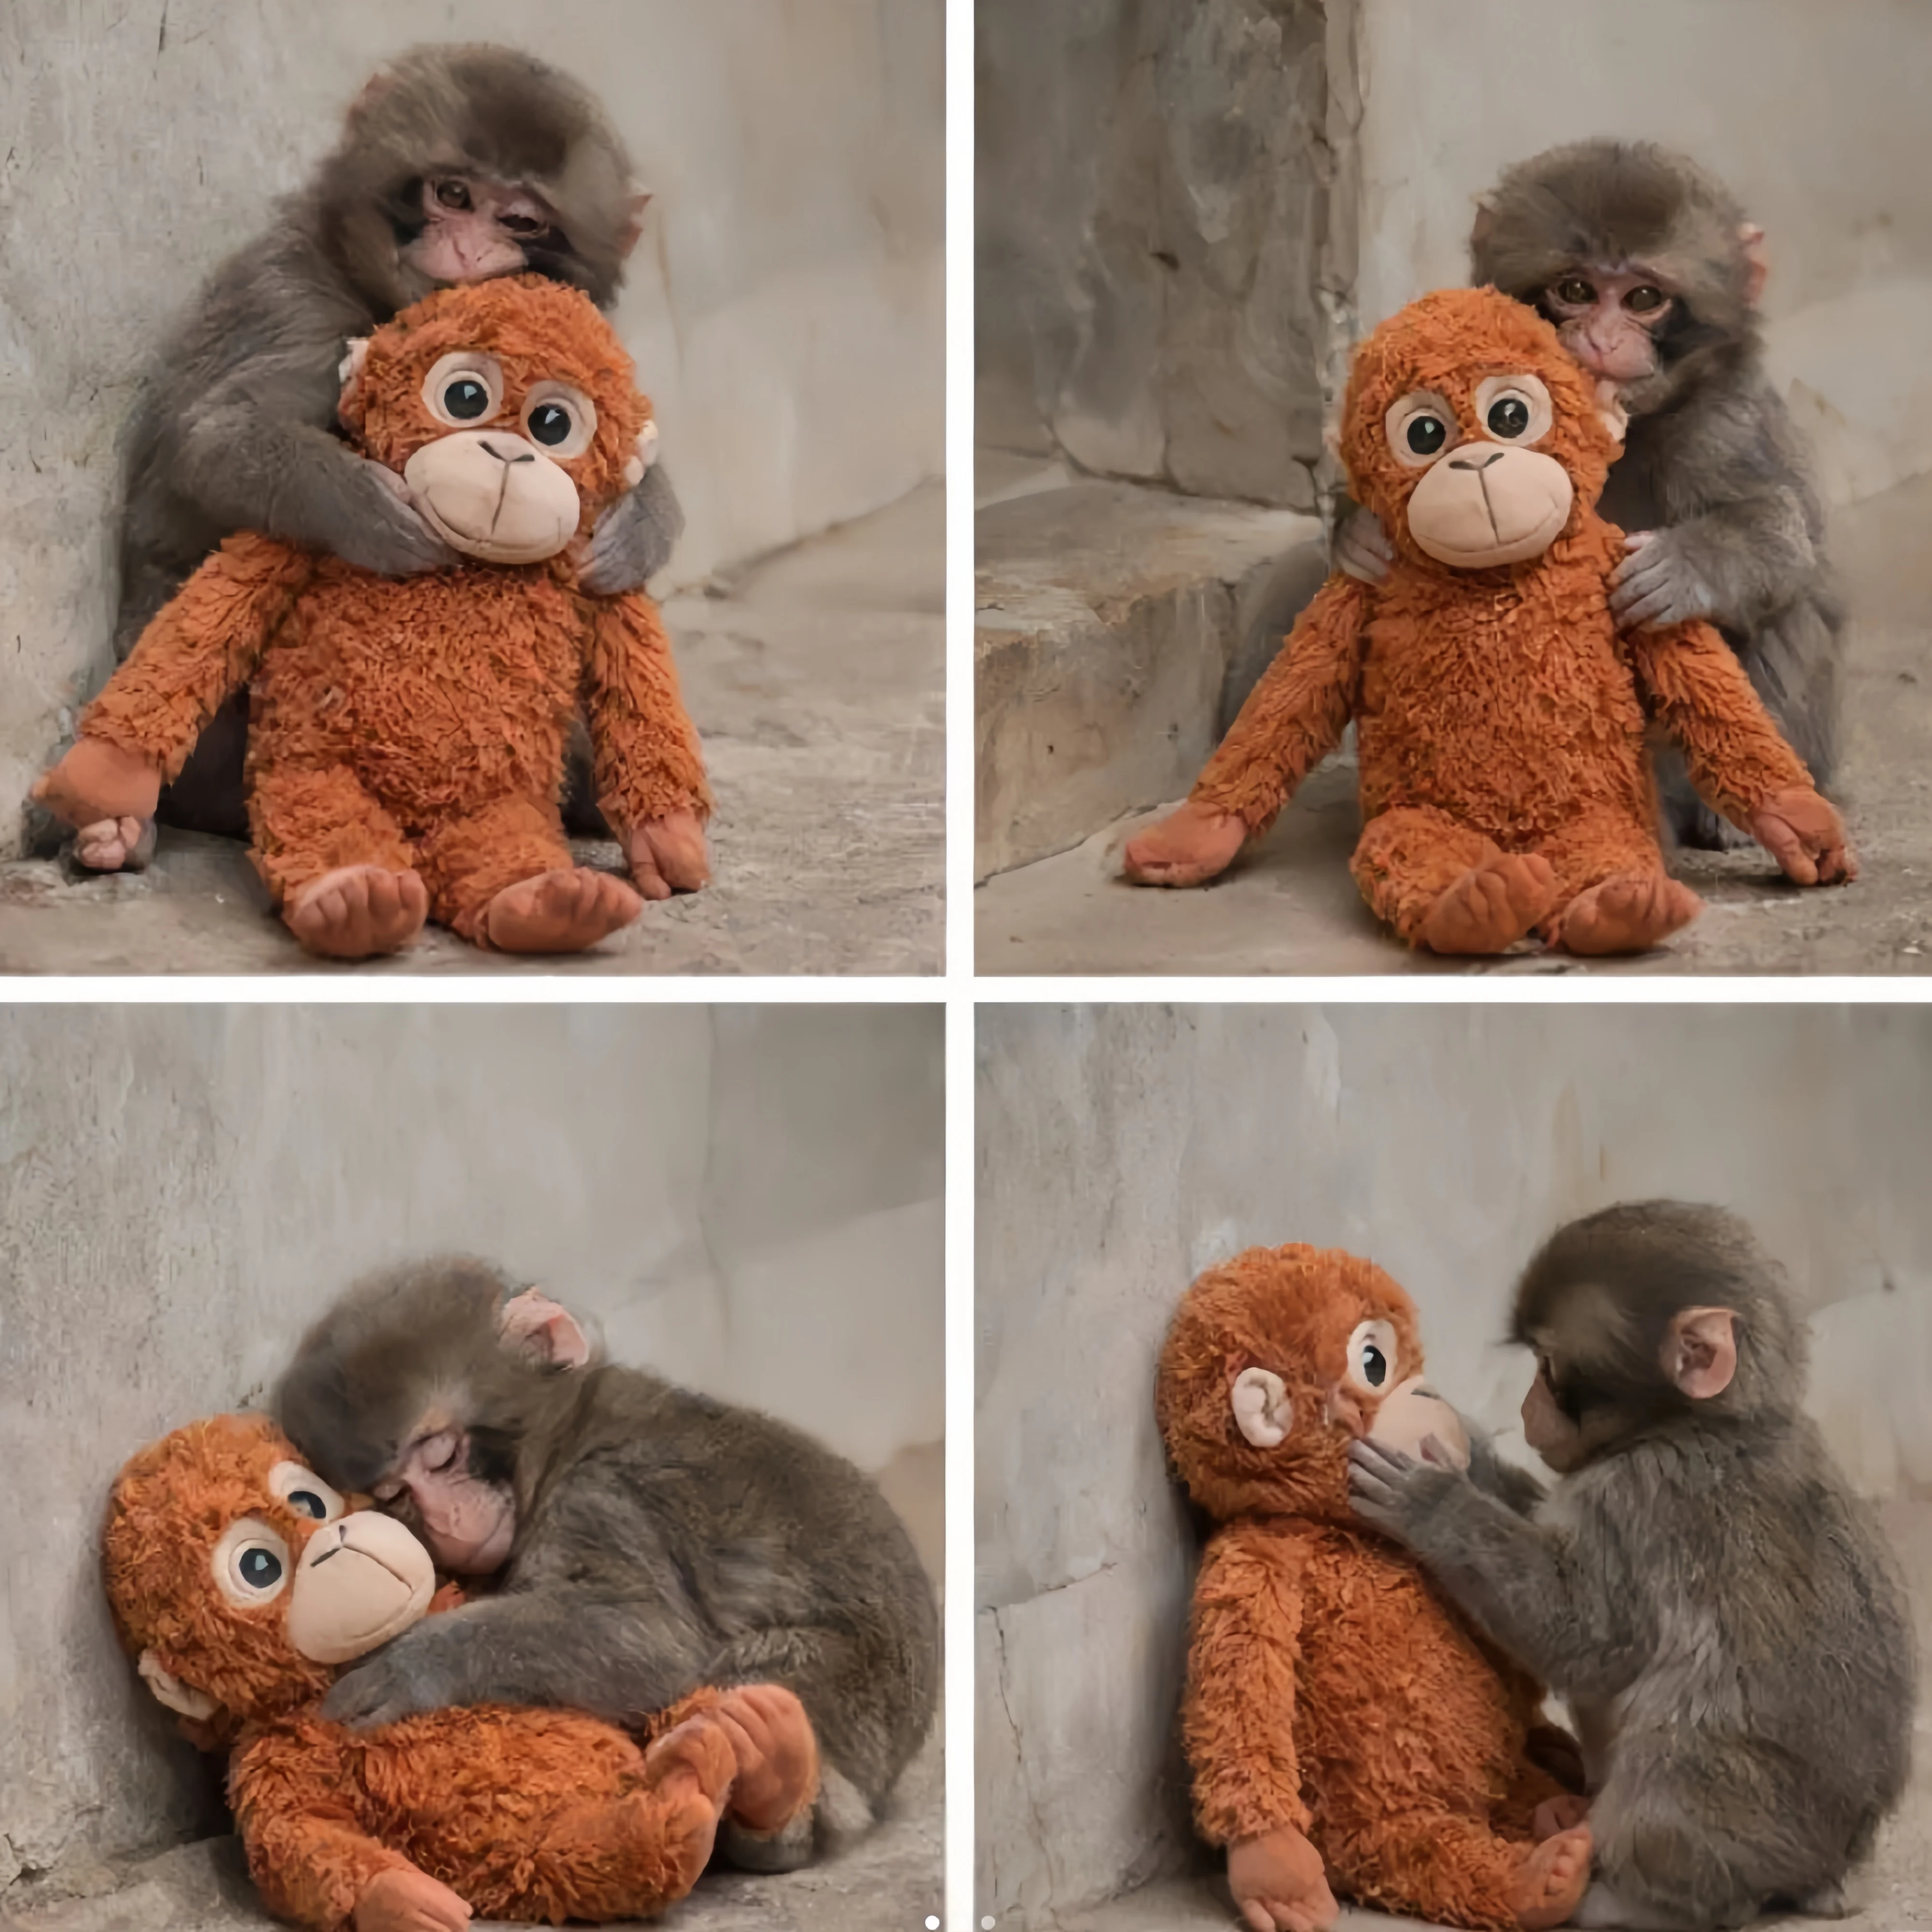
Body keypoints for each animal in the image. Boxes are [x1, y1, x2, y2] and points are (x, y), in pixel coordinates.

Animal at [272, 1259, 939, 1875]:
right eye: (394, 1494)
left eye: (440, 1455)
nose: (445, 1520)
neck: (565, 1439)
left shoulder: (603, 1497)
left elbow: (651, 1639)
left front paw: (413, 1665)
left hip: (863, 1700)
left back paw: (775, 1791)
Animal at [1347, 1201, 1915, 1930]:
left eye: (1549, 1367)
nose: (1527, 1406)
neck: (1697, 1426)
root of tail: (1836, 1864)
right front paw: (1465, 1455)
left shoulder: (1635, 1496)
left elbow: (1590, 1637)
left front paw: (1433, 1502)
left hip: (1750, 1828)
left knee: (1675, 1769)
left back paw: (1626, 1897)